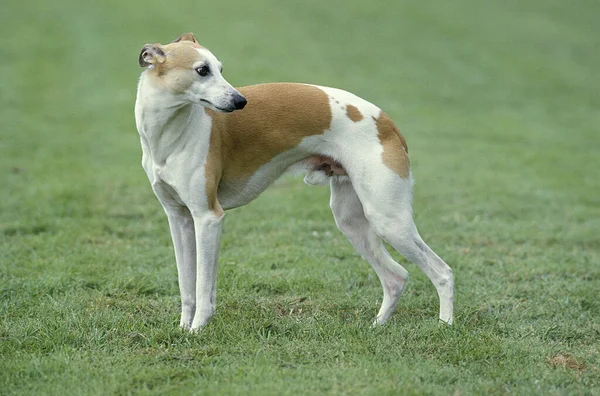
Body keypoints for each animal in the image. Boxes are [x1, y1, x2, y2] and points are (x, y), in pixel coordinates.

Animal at [135, 33, 454, 332]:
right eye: (202, 70)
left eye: (220, 69)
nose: (240, 101)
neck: (171, 135)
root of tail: (387, 122)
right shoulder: (179, 218)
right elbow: (187, 285)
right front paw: (183, 328)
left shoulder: (208, 217)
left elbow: (203, 287)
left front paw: (198, 330)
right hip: (351, 221)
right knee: (395, 276)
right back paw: (377, 326)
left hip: (388, 218)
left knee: (442, 272)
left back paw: (445, 325)